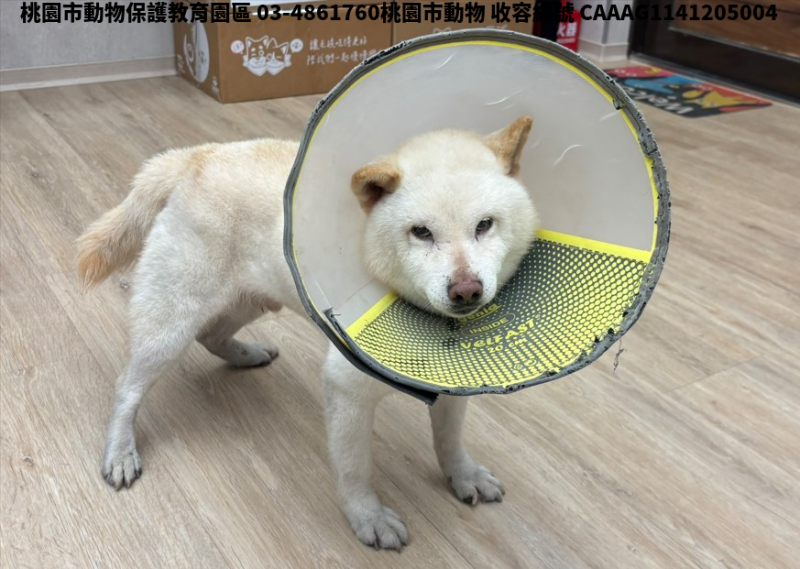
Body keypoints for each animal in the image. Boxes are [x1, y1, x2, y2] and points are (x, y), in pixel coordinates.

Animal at [76, 115, 538, 550]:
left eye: (485, 225)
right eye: (421, 232)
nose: (466, 290)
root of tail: (196, 155)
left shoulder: (453, 385)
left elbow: (449, 441)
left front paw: (463, 474)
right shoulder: (347, 391)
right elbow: (355, 469)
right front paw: (367, 516)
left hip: (257, 298)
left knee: (212, 336)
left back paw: (246, 354)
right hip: (170, 323)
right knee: (127, 387)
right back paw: (120, 450)